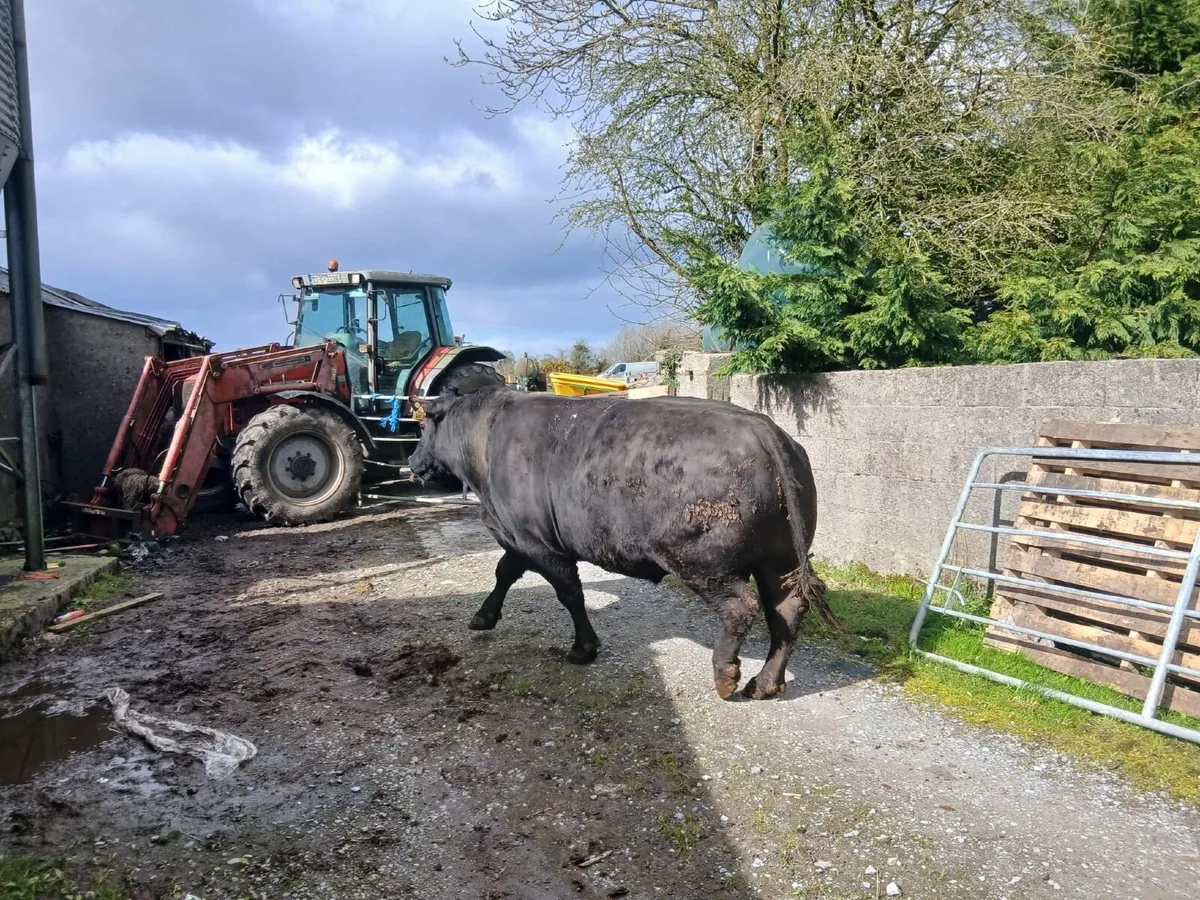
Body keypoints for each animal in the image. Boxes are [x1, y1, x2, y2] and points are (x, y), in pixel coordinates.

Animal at [408, 384, 840, 700]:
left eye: (423, 427)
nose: (412, 463)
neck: (486, 442)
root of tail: (761, 427)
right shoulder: (519, 538)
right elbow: (504, 572)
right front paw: (484, 616)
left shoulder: (538, 543)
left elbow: (569, 593)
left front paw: (583, 647)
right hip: (779, 558)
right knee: (786, 609)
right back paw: (765, 683)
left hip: (702, 562)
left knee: (741, 607)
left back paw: (725, 676)